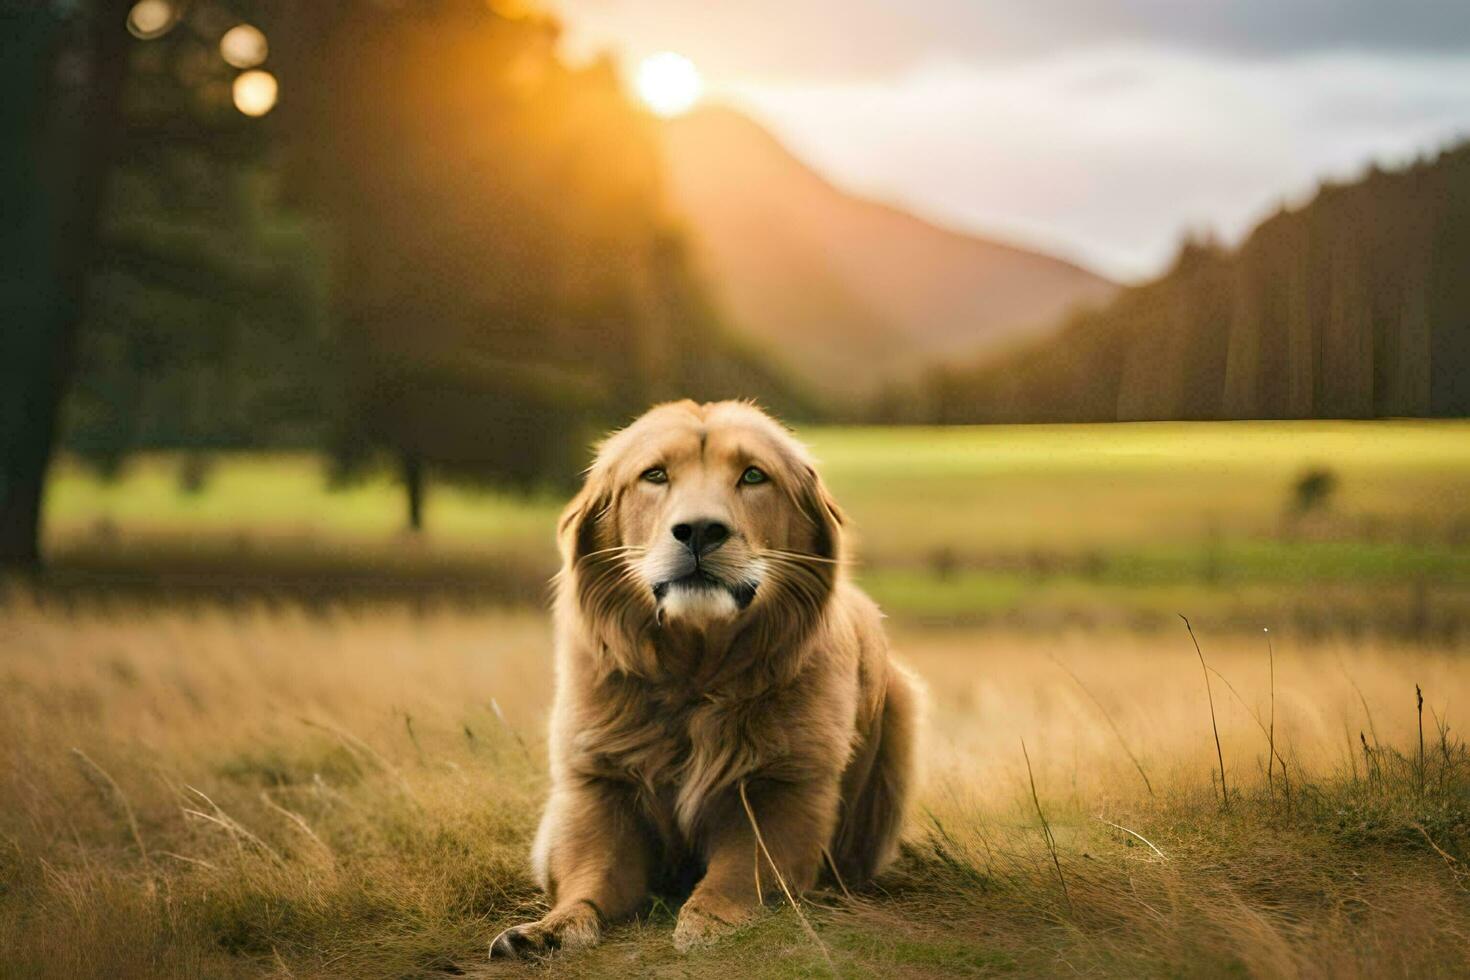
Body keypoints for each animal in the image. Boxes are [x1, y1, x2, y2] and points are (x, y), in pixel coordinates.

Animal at [499, 399, 923, 957]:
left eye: (753, 476)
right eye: (655, 475)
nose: (700, 530)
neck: (695, 673)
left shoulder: (782, 790)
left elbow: (737, 874)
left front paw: (708, 924)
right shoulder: (600, 786)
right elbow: (589, 879)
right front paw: (549, 928)